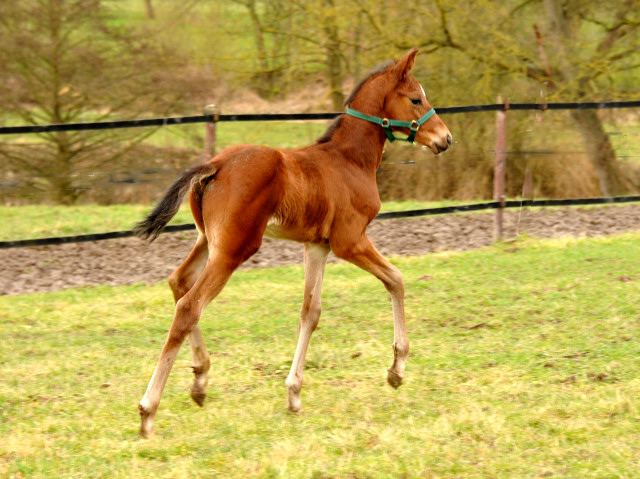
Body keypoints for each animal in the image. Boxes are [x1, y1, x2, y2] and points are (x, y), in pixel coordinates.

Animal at [136, 49, 450, 438]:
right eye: (416, 99)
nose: (445, 138)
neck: (349, 159)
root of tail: (215, 164)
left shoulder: (317, 246)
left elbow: (310, 311)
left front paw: (294, 395)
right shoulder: (349, 241)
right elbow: (396, 279)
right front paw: (397, 369)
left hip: (208, 240)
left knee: (178, 282)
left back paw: (200, 380)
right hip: (234, 249)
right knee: (189, 306)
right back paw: (149, 410)